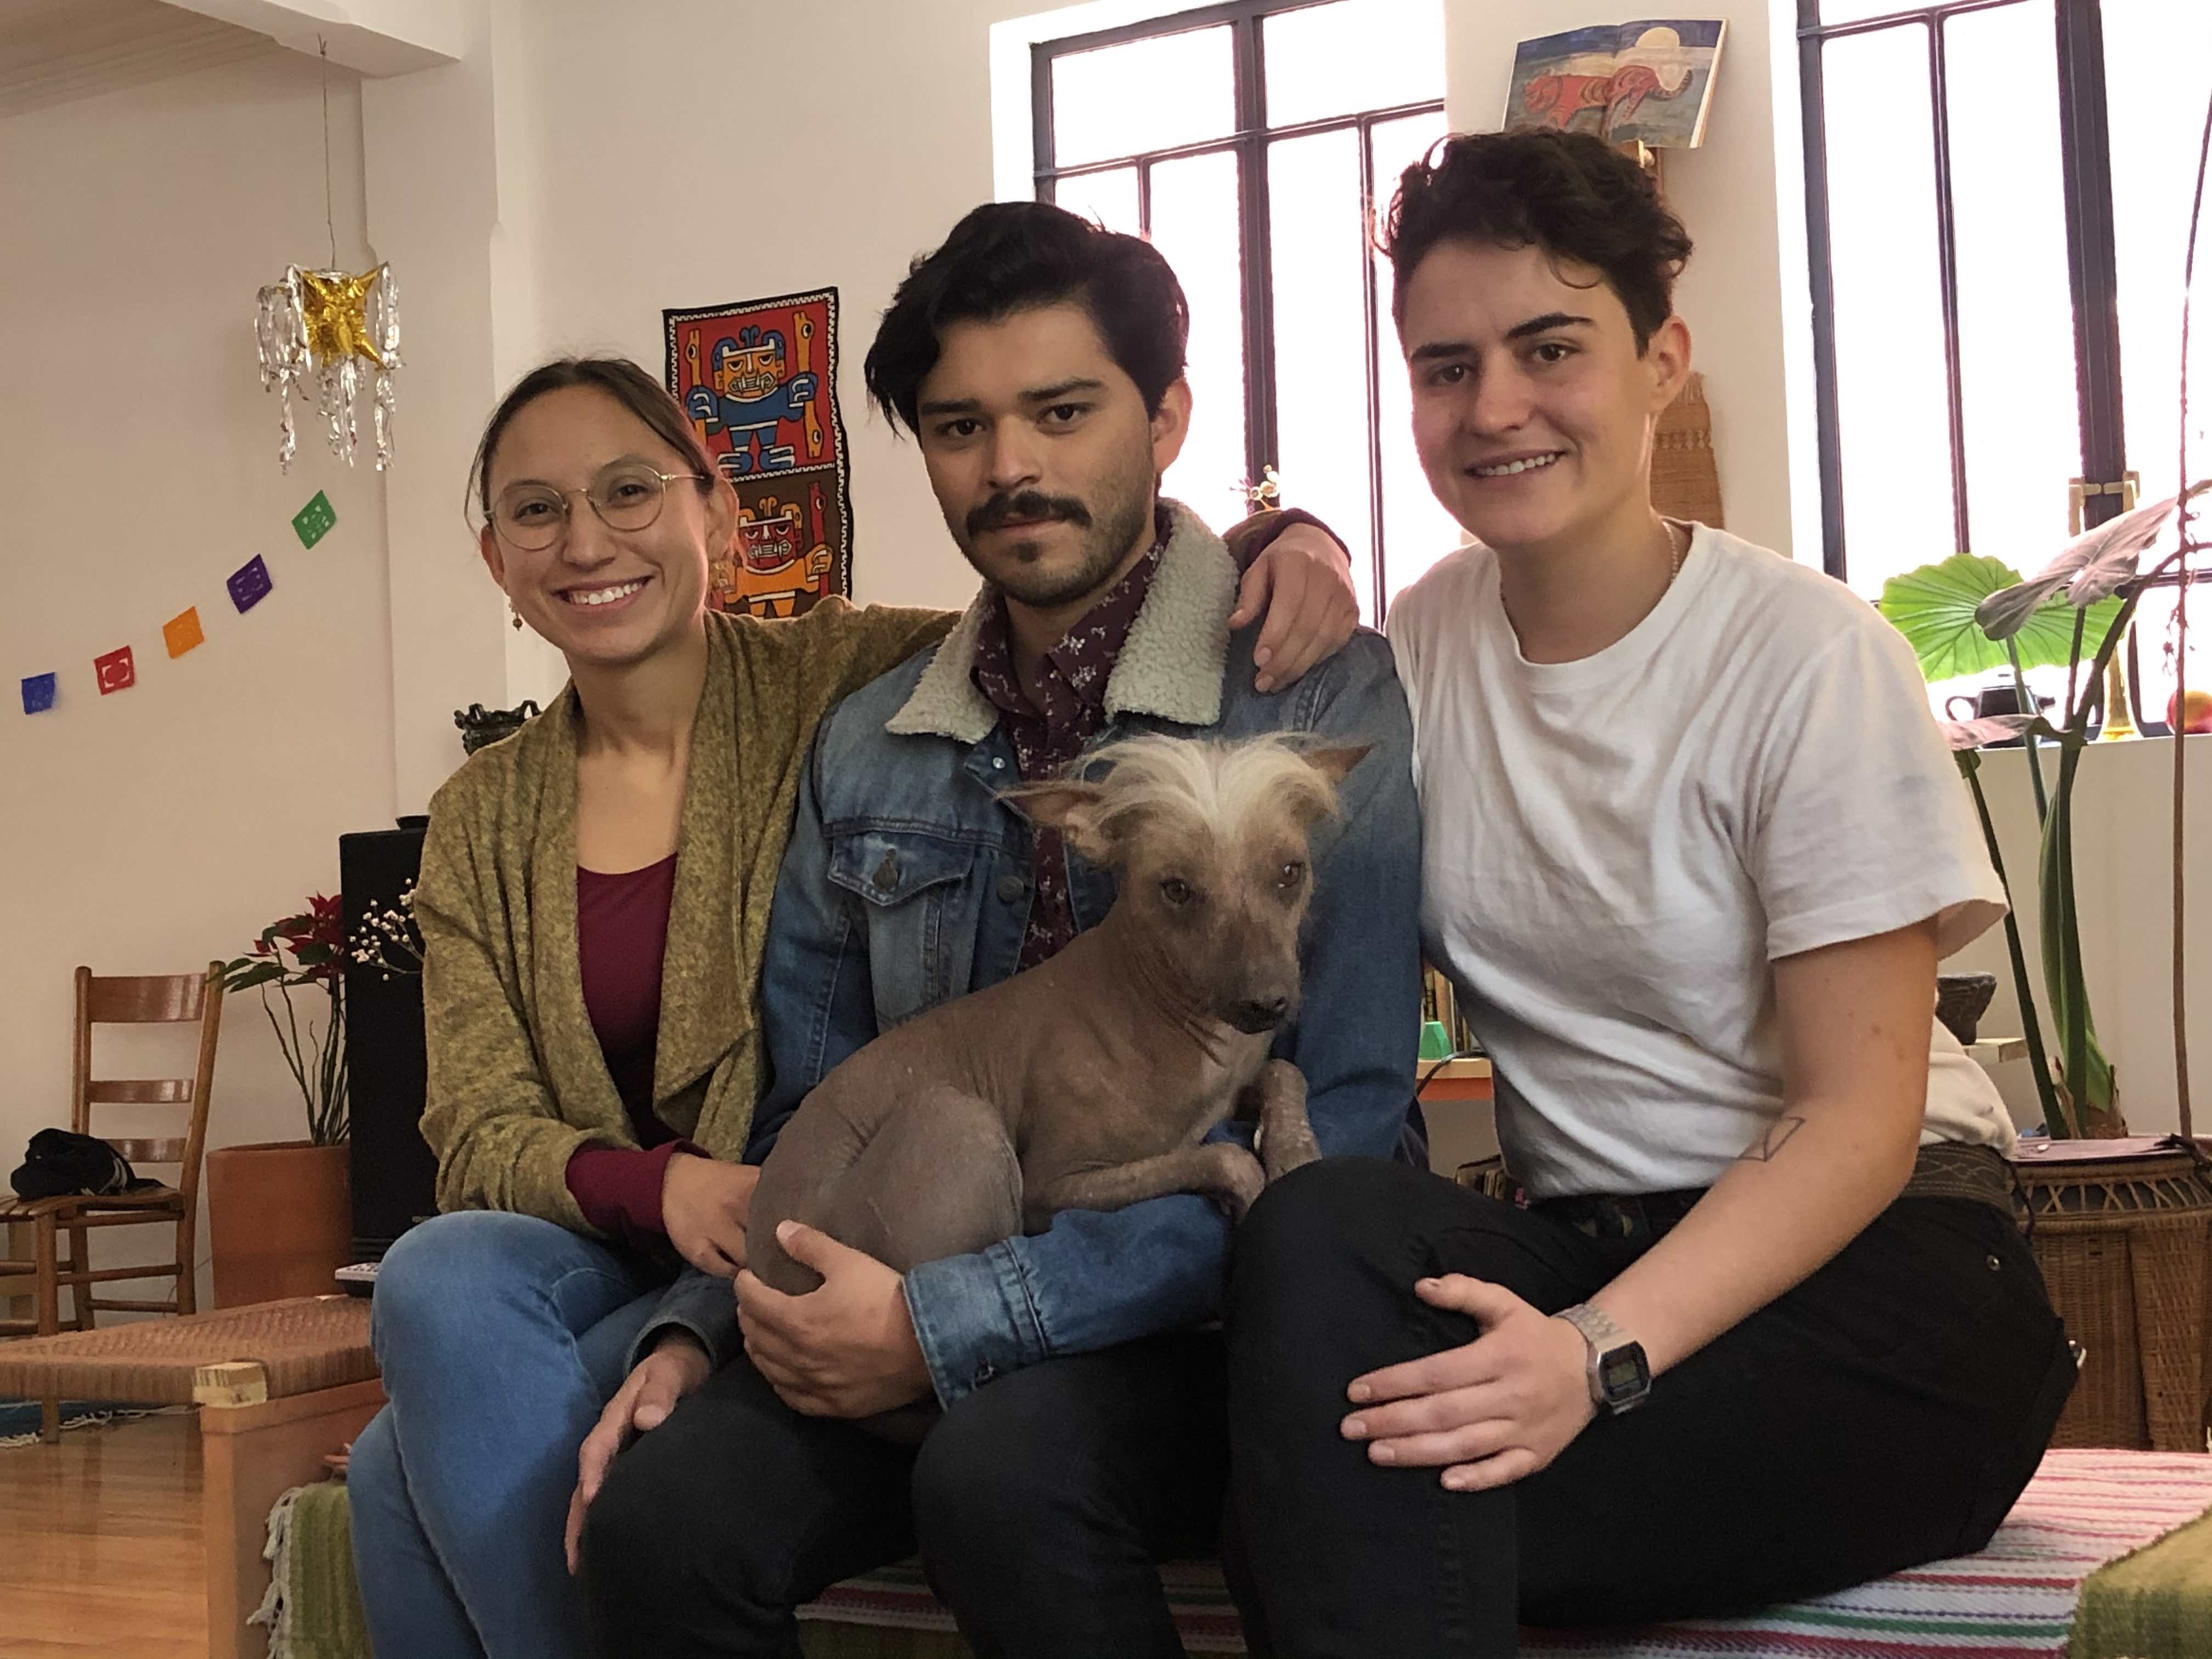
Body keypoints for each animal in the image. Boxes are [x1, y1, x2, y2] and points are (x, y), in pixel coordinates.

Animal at [747, 738, 1362, 1309]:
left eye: (1291, 873)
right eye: (1176, 889)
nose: (1267, 1003)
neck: (1169, 1010)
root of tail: (762, 1264)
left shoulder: (1242, 1075)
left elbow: (1285, 1072)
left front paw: (1295, 1152)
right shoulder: (1053, 1188)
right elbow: (1222, 1156)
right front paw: (1255, 1192)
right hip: (960, 1120)